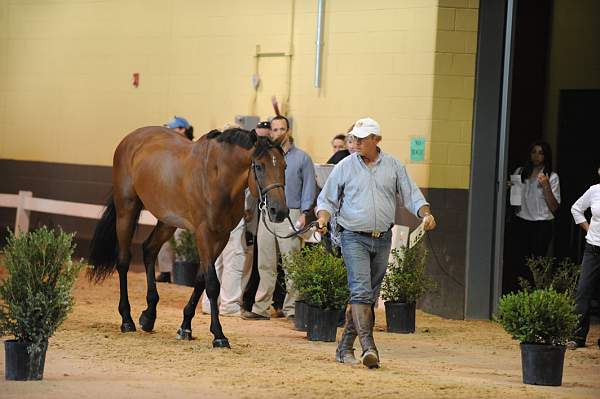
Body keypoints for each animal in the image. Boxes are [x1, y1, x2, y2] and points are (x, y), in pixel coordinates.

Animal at [86, 126, 288, 348]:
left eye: (284, 166)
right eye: (259, 167)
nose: (279, 211)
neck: (218, 178)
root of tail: (131, 138)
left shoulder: (221, 236)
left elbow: (200, 280)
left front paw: (185, 327)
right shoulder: (204, 233)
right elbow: (212, 284)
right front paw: (219, 335)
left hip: (167, 220)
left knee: (149, 249)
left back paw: (149, 316)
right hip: (126, 209)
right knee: (123, 261)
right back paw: (127, 320)